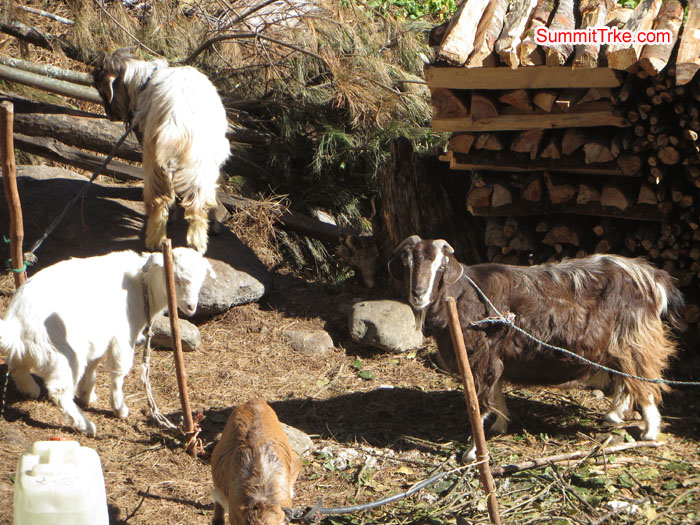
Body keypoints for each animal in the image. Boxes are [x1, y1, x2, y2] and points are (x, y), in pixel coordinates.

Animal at [0, 248, 215, 437]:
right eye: (176, 279)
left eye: (200, 281)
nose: (191, 306)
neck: (142, 284)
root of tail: (16, 324)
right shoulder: (123, 335)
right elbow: (119, 370)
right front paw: (119, 408)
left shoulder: (100, 335)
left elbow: (94, 363)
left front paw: (87, 394)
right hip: (64, 353)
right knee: (58, 391)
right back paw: (85, 426)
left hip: (36, 349)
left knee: (17, 366)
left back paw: (31, 389)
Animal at [92, 47, 231, 253]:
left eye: (102, 90)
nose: (109, 115)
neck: (146, 80)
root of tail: (176, 121)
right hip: (196, 163)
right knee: (194, 203)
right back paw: (195, 243)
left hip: (155, 157)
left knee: (161, 200)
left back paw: (157, 241)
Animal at [391, 235, 683, 455]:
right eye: (408, 262)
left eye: (441, 267)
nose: (418, 294)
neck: (463, 292)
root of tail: (651, 276)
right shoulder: (495, 356)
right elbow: (496, 393)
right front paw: (500, 425)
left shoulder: (479, 357)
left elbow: (480, 403)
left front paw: (474, 452)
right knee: (626, 379)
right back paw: (614, 415)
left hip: (635, 338)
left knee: (643, 379)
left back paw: (650, 431)